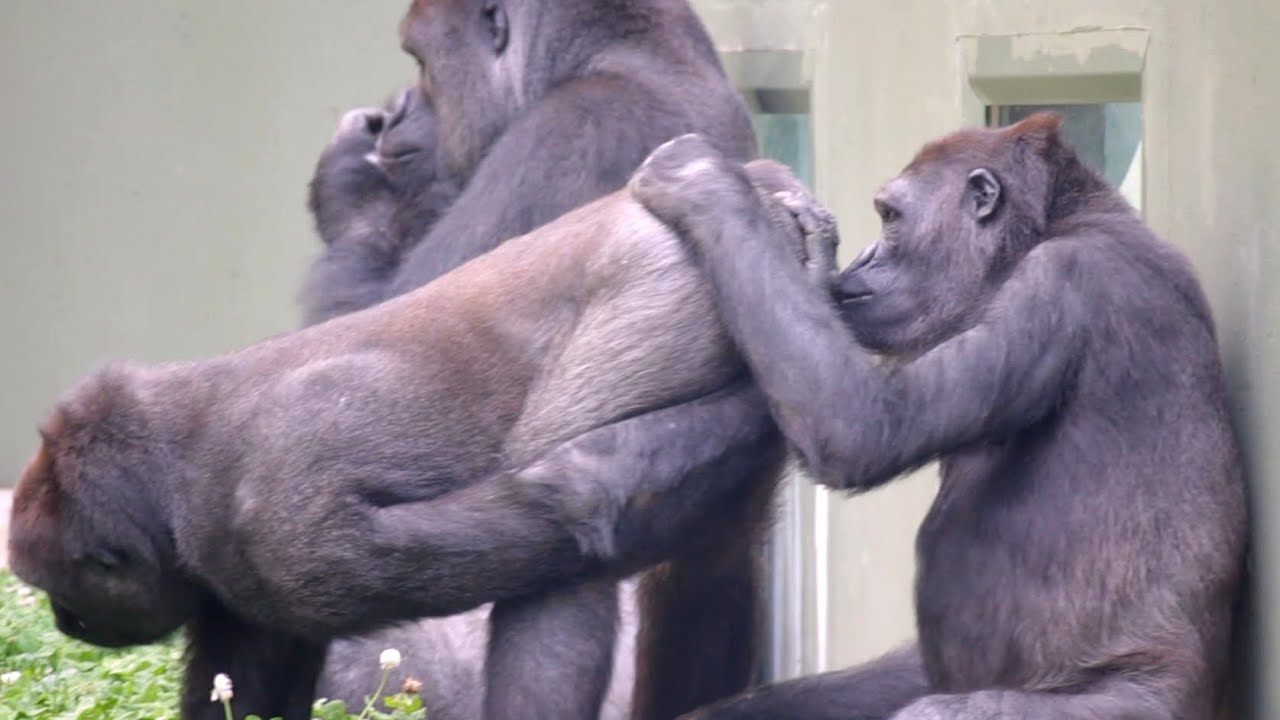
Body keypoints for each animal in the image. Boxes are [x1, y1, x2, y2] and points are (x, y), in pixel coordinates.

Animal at [7, 156, 829, 717]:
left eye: (61, 593)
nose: (62, 623)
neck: (170, 464)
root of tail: (757, 183)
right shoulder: (236, 575)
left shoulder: (283, 521)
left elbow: (567, 506)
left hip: (660, 276)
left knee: (578, 525)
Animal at [632, 117, 1249, 717]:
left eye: (890, 217)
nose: (863, 257)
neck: (1048, 227)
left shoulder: (1057, 283)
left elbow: (868, 424)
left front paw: (702, 183)